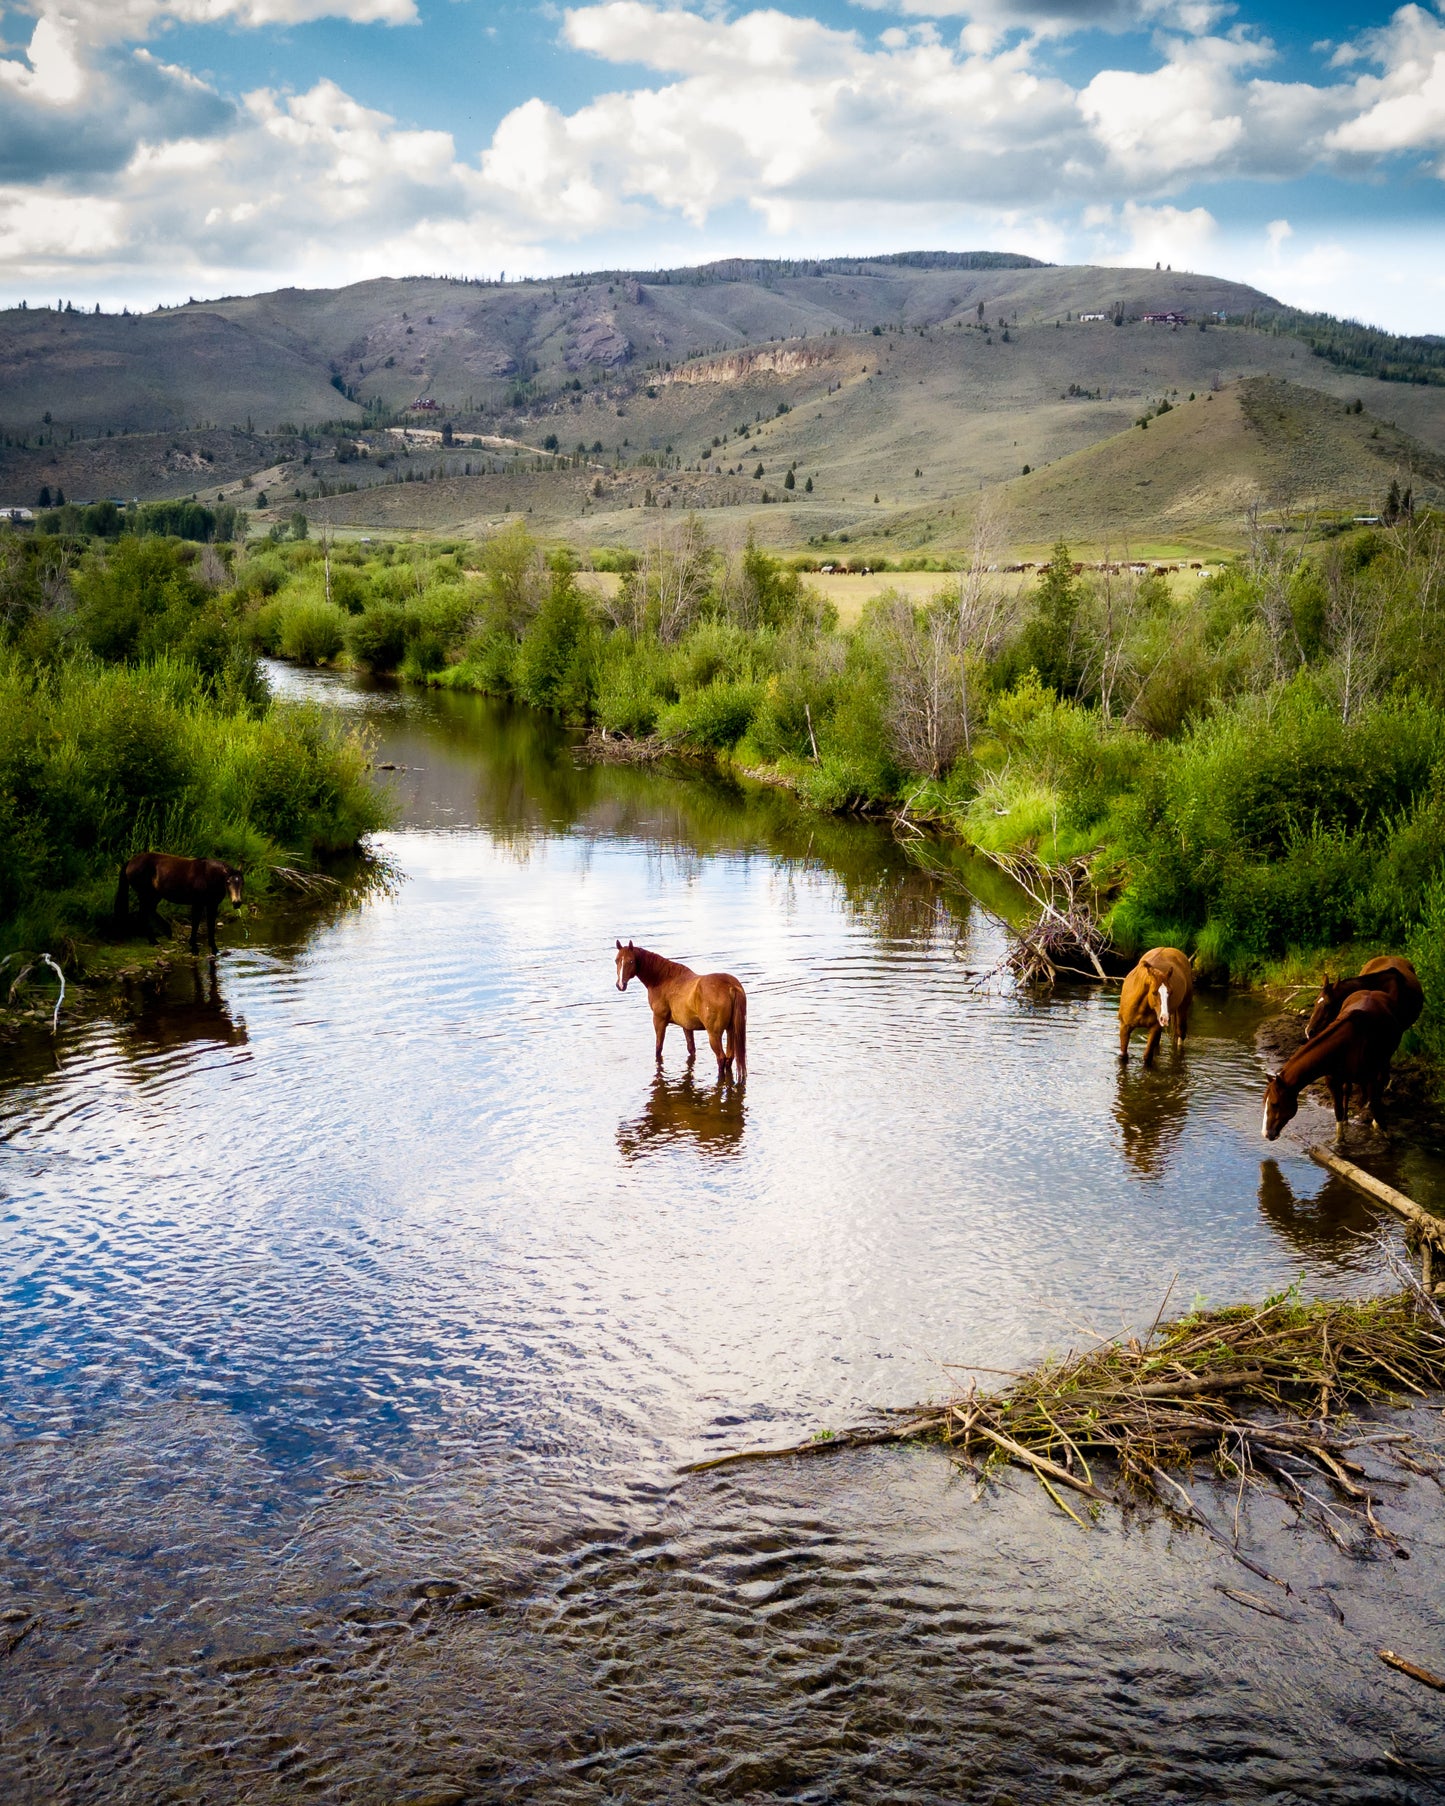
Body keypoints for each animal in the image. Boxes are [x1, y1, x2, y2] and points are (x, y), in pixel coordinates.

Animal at [116, 856, 245, 960]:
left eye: (242, 883)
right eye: (228, 882)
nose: (237, 902)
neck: (207, 875)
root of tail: (131, 861)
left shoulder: (212, 905)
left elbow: (210, 925)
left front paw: (214, 948)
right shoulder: (197, 904)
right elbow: (196, 923)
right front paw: (194, 947)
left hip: (155, 895)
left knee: (148, 911)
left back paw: (160, 935)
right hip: (145, 894)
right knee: (144, 913)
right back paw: (155, 939)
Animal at [614, 939, 751, 1076]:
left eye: (631, 961)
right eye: (616, 960)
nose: (620, 985)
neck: (662, 979)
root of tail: (731, 986)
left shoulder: (659, 1020)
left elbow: (658, 1049)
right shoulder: (687, 1025)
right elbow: (691, 1049)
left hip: (714, 1034)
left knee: (721, 1058)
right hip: (731, 1030)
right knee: (729, 1058)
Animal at [1264, 989, 1401, 1141]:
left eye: (1275, 1104)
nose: (1266, 1133)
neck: (1347, 1045)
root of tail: (1373, 991)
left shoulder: (1371, 1079)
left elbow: (1376, 1106)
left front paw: (1387, 1134)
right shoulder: (1333, 1083)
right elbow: (1338, 1111)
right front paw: (1339, 1140)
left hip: (1385, 1061)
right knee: (1348, 1090)